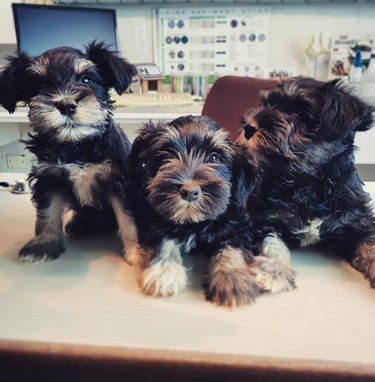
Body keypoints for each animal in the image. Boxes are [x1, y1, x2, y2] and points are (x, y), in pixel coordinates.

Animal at [0, 41, 140, 262]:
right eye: (40, 85)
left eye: (86, 79)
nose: (66, 104)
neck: (76, 144)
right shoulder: (49, 178)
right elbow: (47, 213)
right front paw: (43, 245)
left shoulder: (119, 180)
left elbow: (128, 218)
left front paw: (138, 253)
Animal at [127, 115, 264, 308]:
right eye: (167, 155)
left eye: (214, 157)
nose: (190, 192)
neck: (193, 223)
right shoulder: (154, 219)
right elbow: (163, 238)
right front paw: (164, 271)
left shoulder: (238, 226)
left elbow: (231, 247)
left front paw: (232, 279)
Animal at [239, 75, 375, 290]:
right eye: (265, 103)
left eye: (300, 111)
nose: (248, 127)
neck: (309, 184)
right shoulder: (264, 219)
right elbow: (271, 244)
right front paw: (273, 269)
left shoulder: (357, 223)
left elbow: (371, 247)